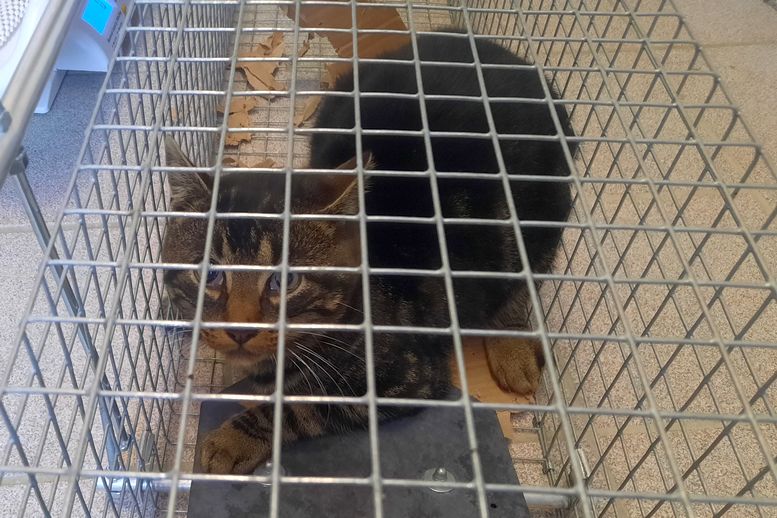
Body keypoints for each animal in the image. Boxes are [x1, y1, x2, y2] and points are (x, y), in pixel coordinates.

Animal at [162, 31, 575, 475]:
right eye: (209, 274)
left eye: (286, 280)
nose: (240, 330)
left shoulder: (406, 377)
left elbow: (302, 407)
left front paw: (233, 438)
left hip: (537, 220)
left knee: (524, 280)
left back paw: (512, 347)